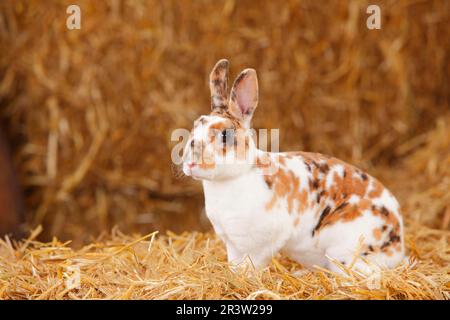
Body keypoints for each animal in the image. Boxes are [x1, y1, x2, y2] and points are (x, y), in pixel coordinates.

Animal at [181, 59, 406, 276]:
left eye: (225, 135)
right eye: (195, 125)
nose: (190, 162)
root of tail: (398, 244)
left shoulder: (261, 243)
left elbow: (252, 266)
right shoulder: (233, 244)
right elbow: (235, 265)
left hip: (342, 249)